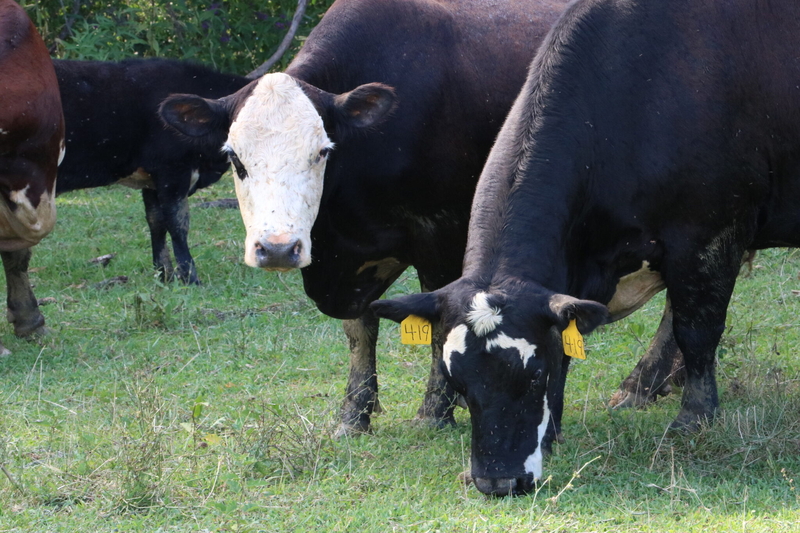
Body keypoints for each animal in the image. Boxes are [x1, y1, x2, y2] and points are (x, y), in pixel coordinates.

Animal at [53, 59, 250, 284]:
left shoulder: (151, 180)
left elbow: (156, 222)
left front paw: (165, 273)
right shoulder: (172, 172)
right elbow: (178, 224)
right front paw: (190, 277)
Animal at [159, 0, 574, 436]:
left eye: (322, 152)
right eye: (235, 159)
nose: (277, 249)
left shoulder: (440, 232)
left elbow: (438, 323)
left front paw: (434, 411)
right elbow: (359, 332)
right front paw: (354, 414)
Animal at [371, 0, 800, 496]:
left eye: (533, 374)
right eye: (456, 382)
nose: (499, 480)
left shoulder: (710, 232)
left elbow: (696, 330)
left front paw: (694, 418)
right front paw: (554, 431)